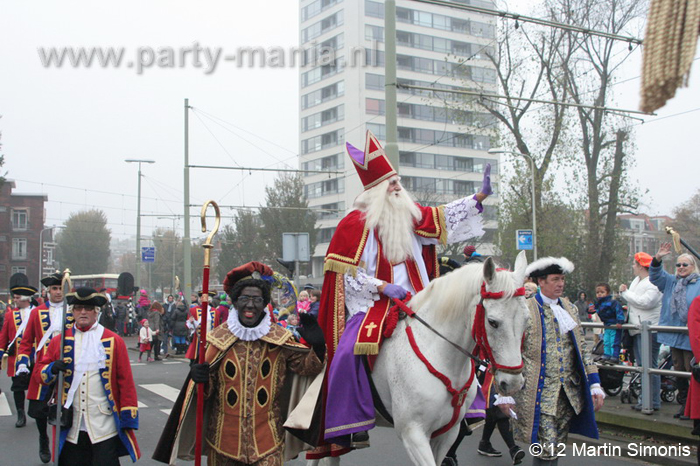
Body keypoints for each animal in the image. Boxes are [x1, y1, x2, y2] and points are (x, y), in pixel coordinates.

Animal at [308, 251, 528, 466]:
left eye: (525, 321)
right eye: (492, 322)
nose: (514, 383)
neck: (440, 355)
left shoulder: (447, 433)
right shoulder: (413, 433)